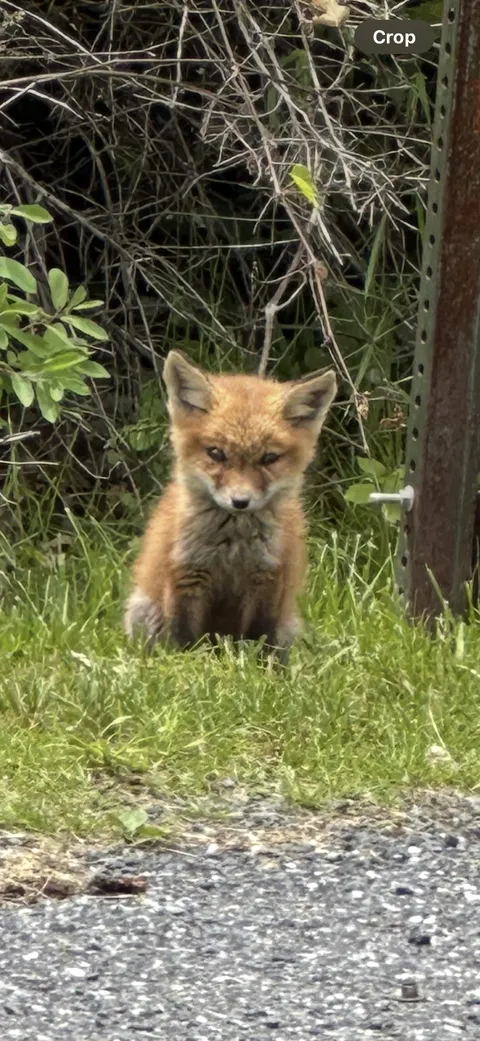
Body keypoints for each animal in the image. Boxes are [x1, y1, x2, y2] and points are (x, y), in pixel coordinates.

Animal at [124, 350, 337, 661]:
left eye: (269, 458)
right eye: (216, 453)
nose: (240, 501)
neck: (232, 546)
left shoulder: (267, 578)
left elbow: (258, 639)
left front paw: (259, 671)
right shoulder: (186, 575)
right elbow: (183, 639)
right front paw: (187, 665)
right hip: (144, 611)